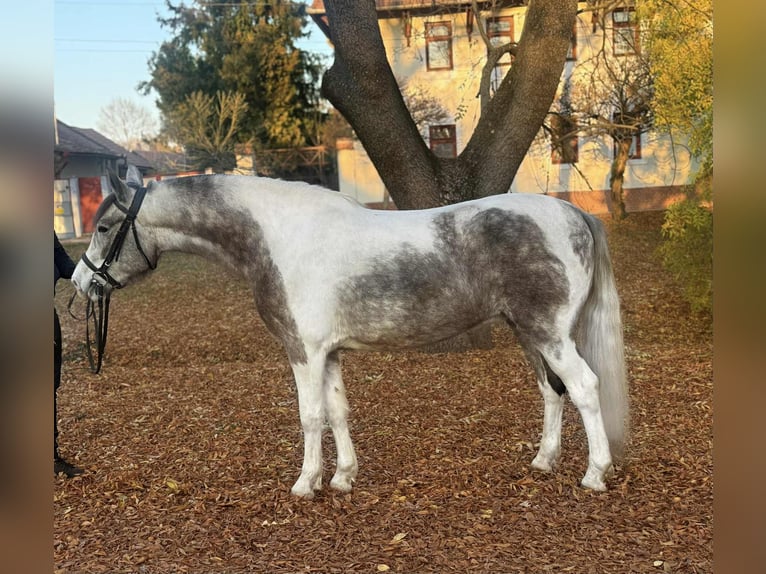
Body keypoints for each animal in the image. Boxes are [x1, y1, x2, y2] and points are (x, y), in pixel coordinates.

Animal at [72, 165, 628, 498]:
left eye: (103, 228)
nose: (79, 281)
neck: (277, 236)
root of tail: (573, 212)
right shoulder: (330, 353)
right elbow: (339, 410)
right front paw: (343, 477)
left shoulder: (304, 351)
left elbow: (310, 415)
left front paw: (306, 483)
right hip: (529, 334)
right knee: (552, 391)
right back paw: (544, 460)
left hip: (551, 335)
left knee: (584, 388)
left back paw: (594, 474)